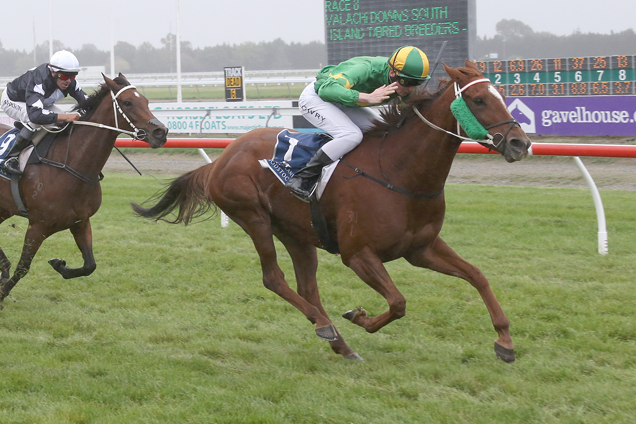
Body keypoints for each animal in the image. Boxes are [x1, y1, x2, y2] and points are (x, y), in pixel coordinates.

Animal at [0, 74, 168, 304]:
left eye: (146, 101)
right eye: (127, 103)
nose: (161, 132)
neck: (72, 164)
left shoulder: (80, 221)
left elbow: (90, 265)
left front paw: (59, 265)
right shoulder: (38, 226)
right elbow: (23, 267)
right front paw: (2, 295)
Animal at [133, 61, 532, 362]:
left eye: (502, 97)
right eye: (479, 100)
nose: (520, 143)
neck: (400, 171)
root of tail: (222, 158)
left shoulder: (421, 248)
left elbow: (478, 276)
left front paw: (505, 342)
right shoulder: (358, 254)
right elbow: (399, 302)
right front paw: (359, 316)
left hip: (295, 232)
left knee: (306, 286)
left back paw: (339, 342)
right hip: (253, 217)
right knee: (273, 278)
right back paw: (326, 326)